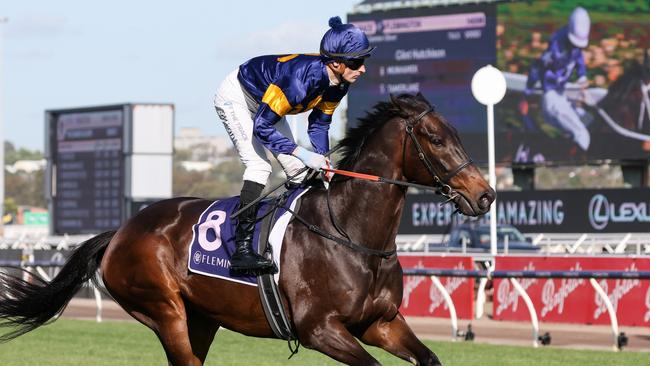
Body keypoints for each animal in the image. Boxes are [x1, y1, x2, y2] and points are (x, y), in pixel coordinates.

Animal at [0, 93, 494, 364]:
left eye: (456, 134)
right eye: (435, 138)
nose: (485, 194)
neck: (351, 233)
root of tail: (120, 232)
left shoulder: (381, 323)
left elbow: (429, 357)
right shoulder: (320, 330)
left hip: (200, 321)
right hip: (165, 312)